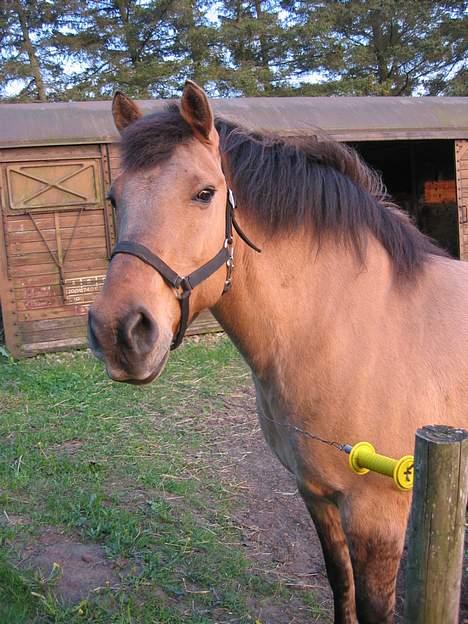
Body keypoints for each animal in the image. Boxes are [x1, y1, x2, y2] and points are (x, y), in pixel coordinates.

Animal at [88, 80, 468, 620]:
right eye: (114, 198)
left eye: (205, 193)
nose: (117, 332)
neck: (357, 332)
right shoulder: (316, 496)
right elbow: (340, 587)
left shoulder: (379, 517)